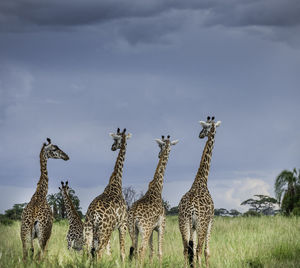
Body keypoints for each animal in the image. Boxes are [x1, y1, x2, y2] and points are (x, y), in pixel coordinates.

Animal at [84, 127, 132, 262]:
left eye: (115, 140)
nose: (112, 147)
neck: (116, 182)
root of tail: (93, 215)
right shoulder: (123, 224)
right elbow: (122, 252)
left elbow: (109, 252)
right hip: (104, 230)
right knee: (98, 252)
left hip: (90, 231)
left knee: (88, 251)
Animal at [127, 135, 178, 264]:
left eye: (160, 146)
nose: (159, 154)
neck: (157, 188)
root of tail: (134, 214)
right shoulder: (161, 226)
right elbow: (159, 252)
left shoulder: (151, 229)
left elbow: (152, 251)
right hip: (144, 230)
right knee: (141, 250)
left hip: (133, 229)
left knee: (134, 249)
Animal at [178, 116, 220, 268]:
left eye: (204, 128)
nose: (200, 135)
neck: (202, 180)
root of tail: (191, 209)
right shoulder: (210, 221)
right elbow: (207, 251)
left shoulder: (193, 226)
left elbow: (192, 250)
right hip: (201, 224)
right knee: (198, 249)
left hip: (183, 223)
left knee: (186, 249)